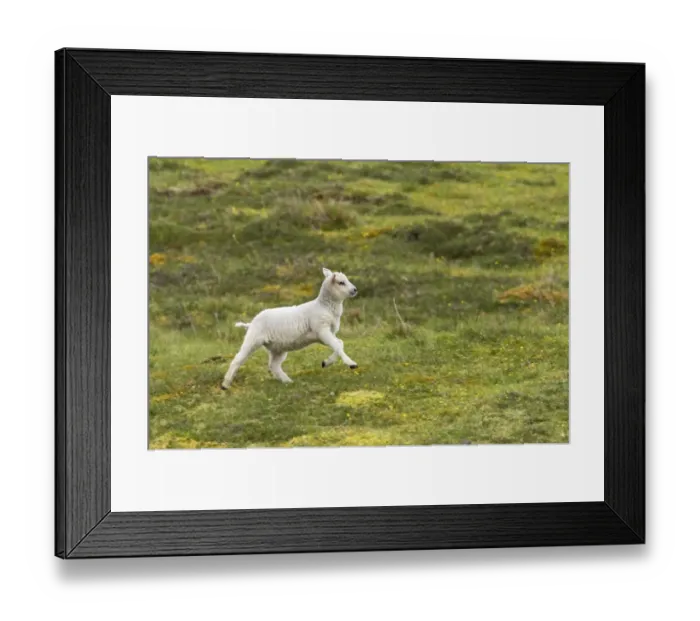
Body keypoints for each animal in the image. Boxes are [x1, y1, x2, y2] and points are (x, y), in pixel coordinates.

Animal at [221, 268, 359, 388]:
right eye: (341, 282)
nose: (355, 290)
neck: (324, 306)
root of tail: (250, 323)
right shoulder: (321, 330)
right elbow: (337, 345)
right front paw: (351, 363)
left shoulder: (323, 334)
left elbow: (340, 343)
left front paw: (326, 362)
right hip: (253, 339)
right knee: (237, 359)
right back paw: (225, 384)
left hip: (277, 347)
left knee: (274, 366)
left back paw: (288, 381)